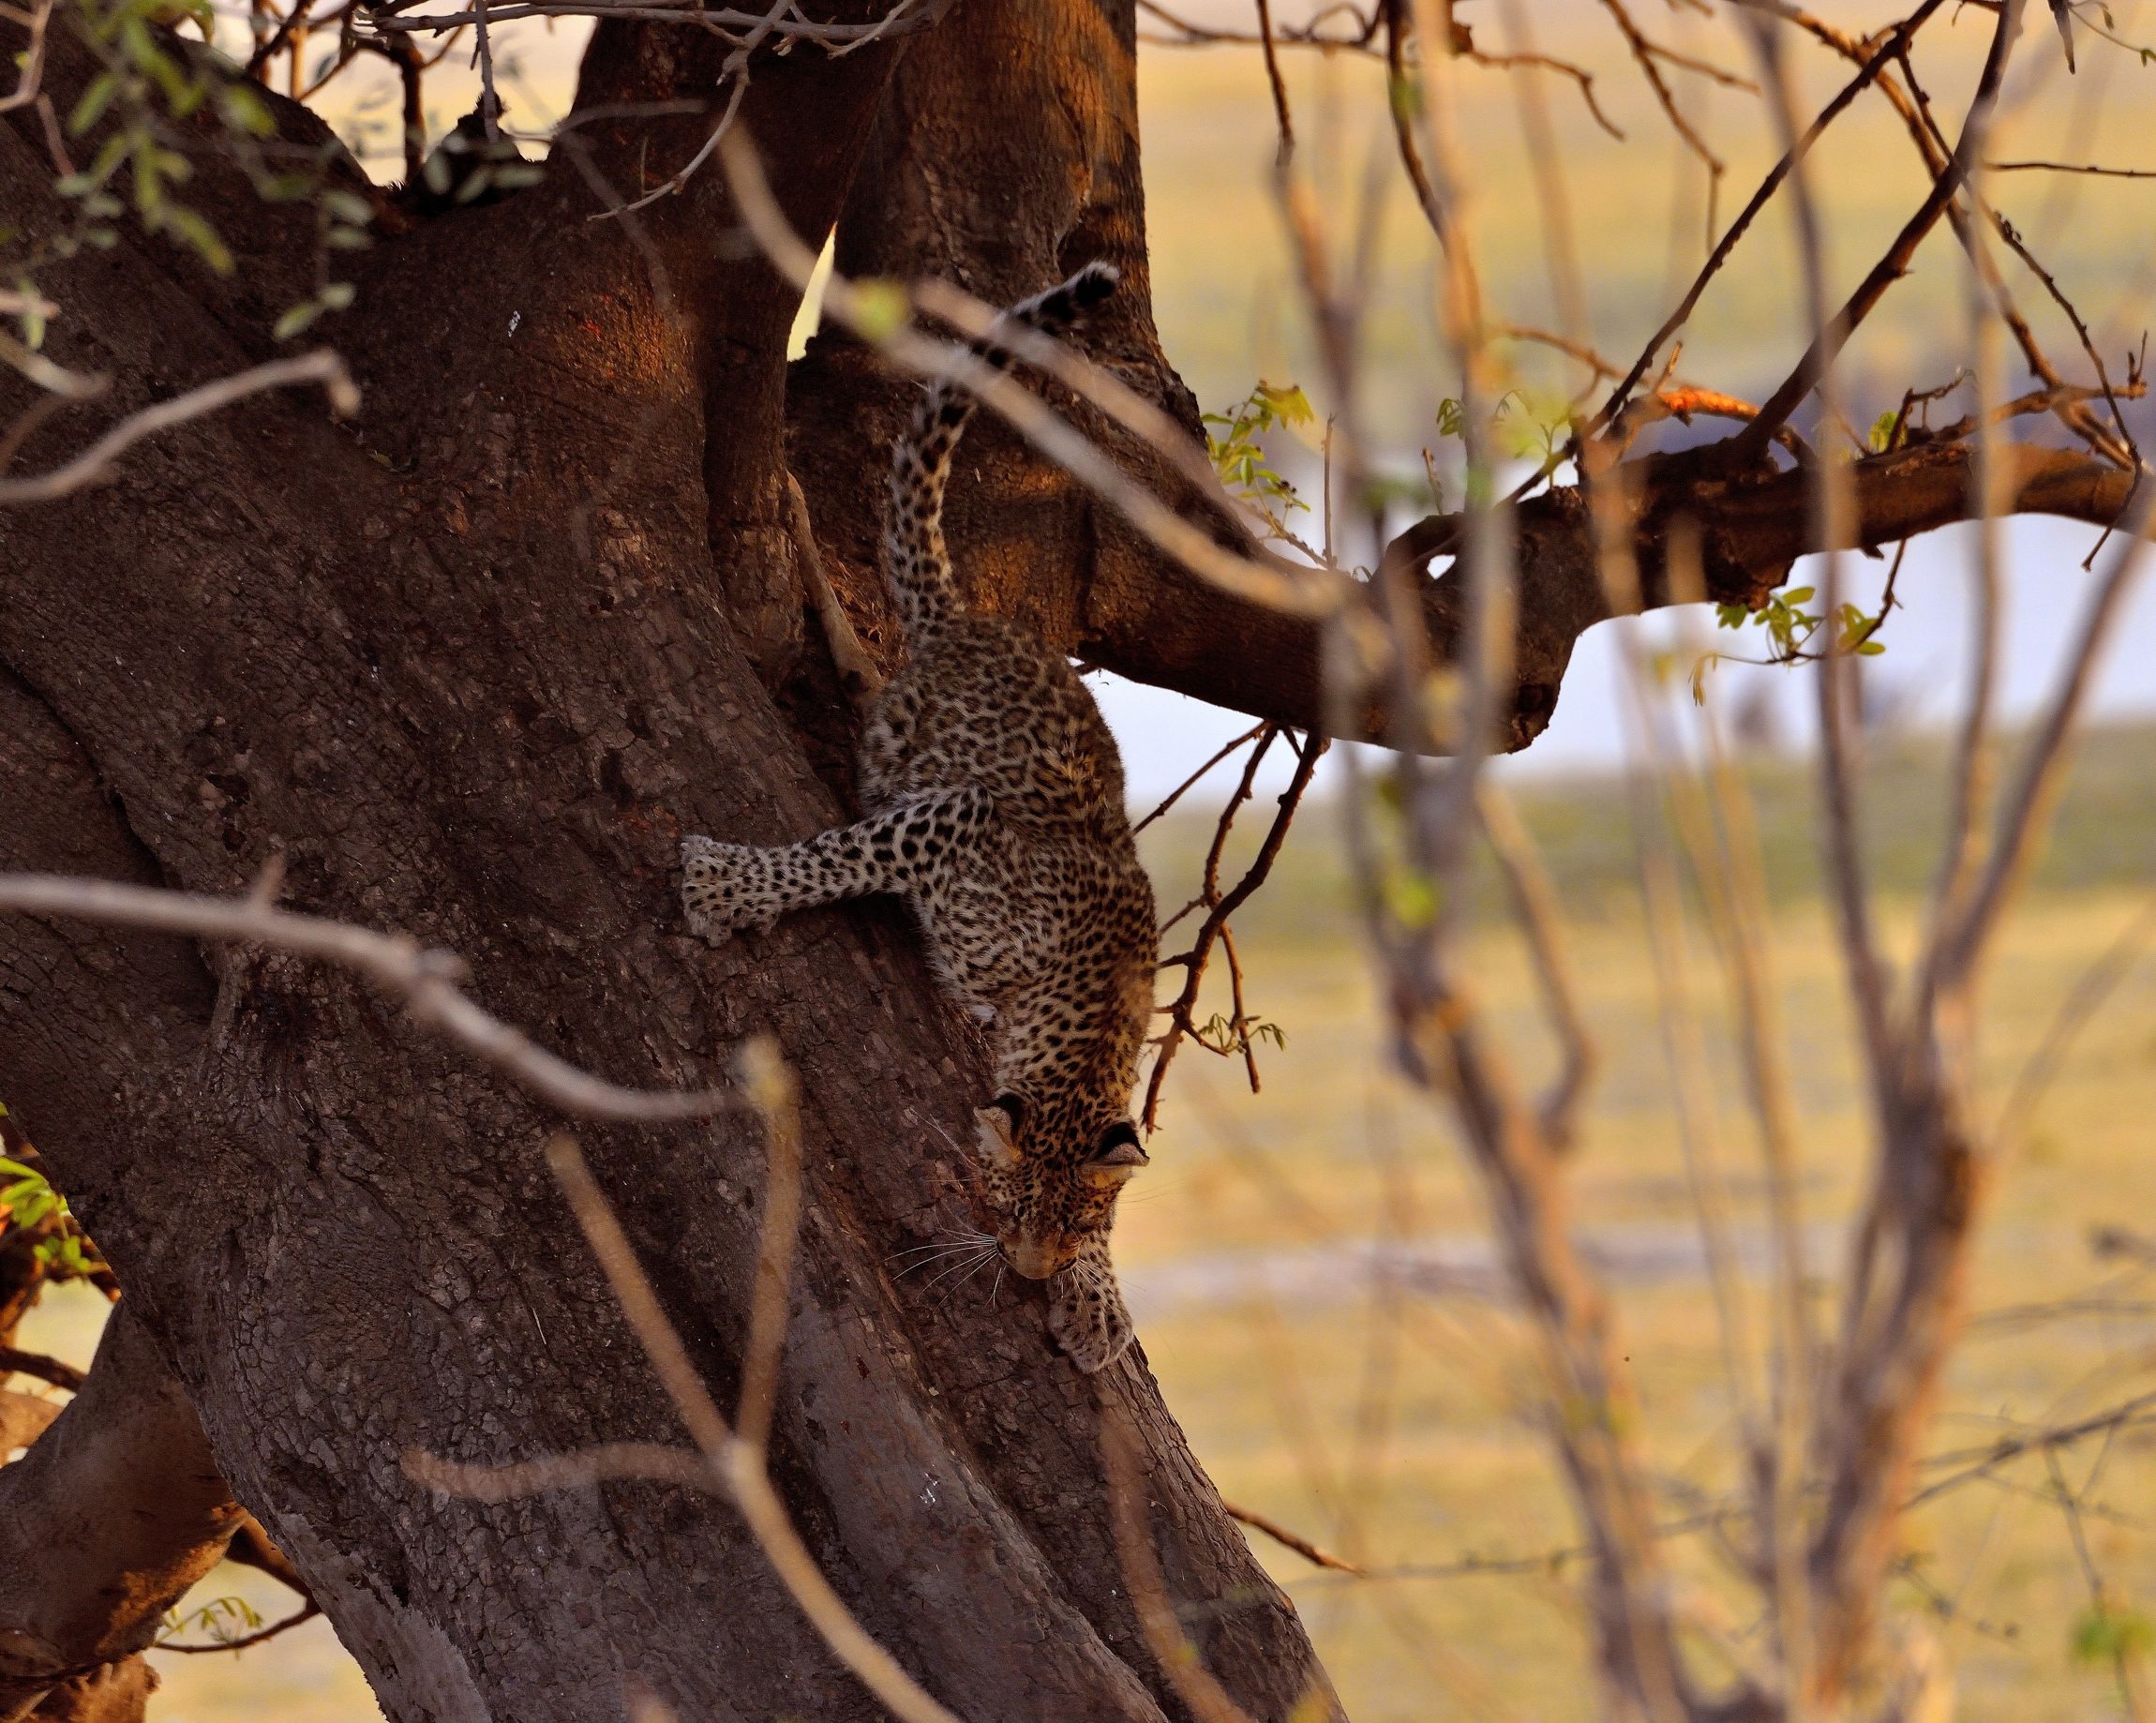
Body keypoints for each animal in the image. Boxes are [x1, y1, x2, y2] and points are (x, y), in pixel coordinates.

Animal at [680, 262, 1158, 1373]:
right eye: (1009, 1200)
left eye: (1077, 1221)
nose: (1027, 1269)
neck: (1074, 1009)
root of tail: (976, 624)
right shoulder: (958, 822)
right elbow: (839, 856)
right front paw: (727, 885)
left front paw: (1096, 1296)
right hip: (907, 718)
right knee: (858, 653)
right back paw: (797, 526)